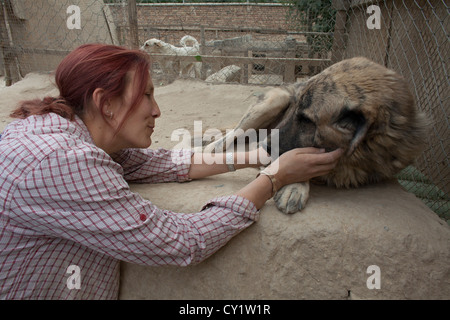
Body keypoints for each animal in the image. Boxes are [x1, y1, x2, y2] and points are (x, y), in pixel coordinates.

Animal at [207, 57, 428, 212]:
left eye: (307, 120)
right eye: (294, 107)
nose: (266, 147)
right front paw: (295, 185)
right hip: (274, 100)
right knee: (231, 134)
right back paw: (211, 148)